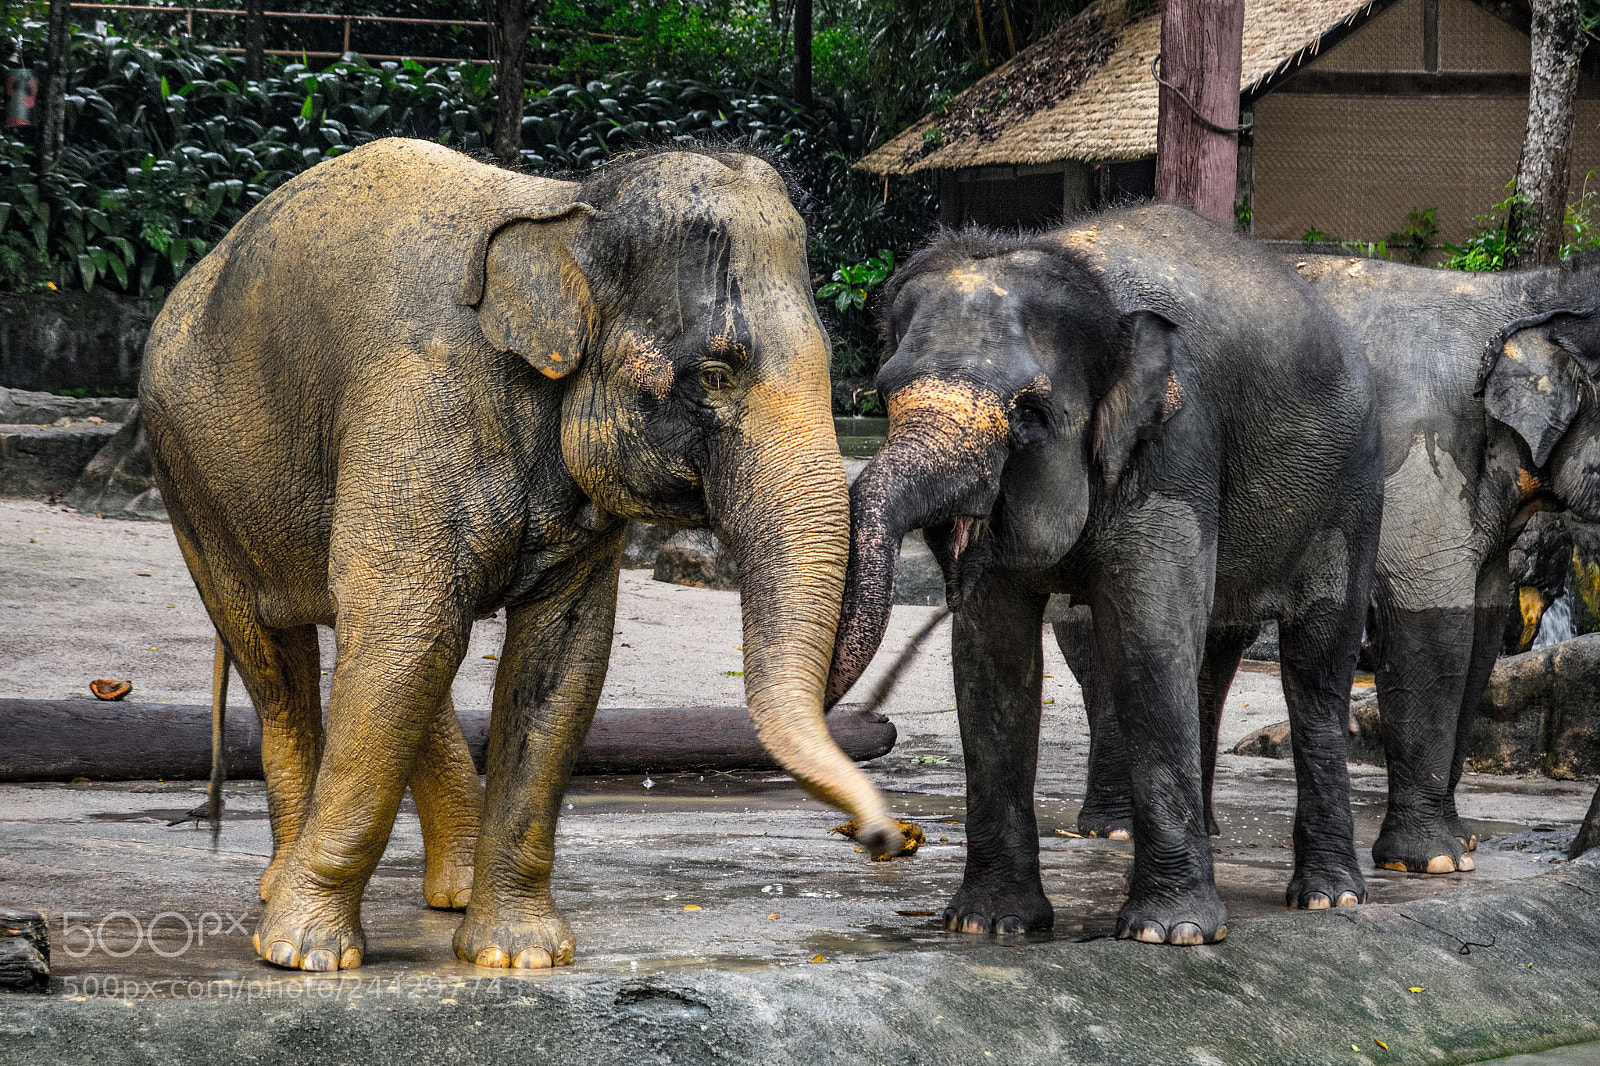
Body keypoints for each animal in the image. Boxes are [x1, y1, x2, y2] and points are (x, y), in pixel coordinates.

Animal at [140, 136, 902, 973]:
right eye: (714, 374)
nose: (885, 839)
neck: (567, 205)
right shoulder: (414, 405)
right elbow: (408, 635)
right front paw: (308, 955)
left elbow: (560, 659)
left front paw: (522, 955)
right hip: (189, 473)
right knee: (283, 654)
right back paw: (280, 904)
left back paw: (447, 892)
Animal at [825, 203, 1384, 945]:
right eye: (885, 396)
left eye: (1029, 413)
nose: (884, 838)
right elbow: (991, 663)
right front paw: (989, 926)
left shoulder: (1177, 446)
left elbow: (1147, 642)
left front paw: (1170, 934)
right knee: (1208, 658)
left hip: (1353, 493)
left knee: (1316, 668)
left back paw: (1328, 899)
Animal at [1059, 252, 1600, 876]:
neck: (1524, 292)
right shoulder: (1423, 452)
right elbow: (1432, 623)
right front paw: (1431, 862)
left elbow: (1483, 636)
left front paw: (1461, 846)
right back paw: (1112, 830)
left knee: (1211, 646)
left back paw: (1204, 829)